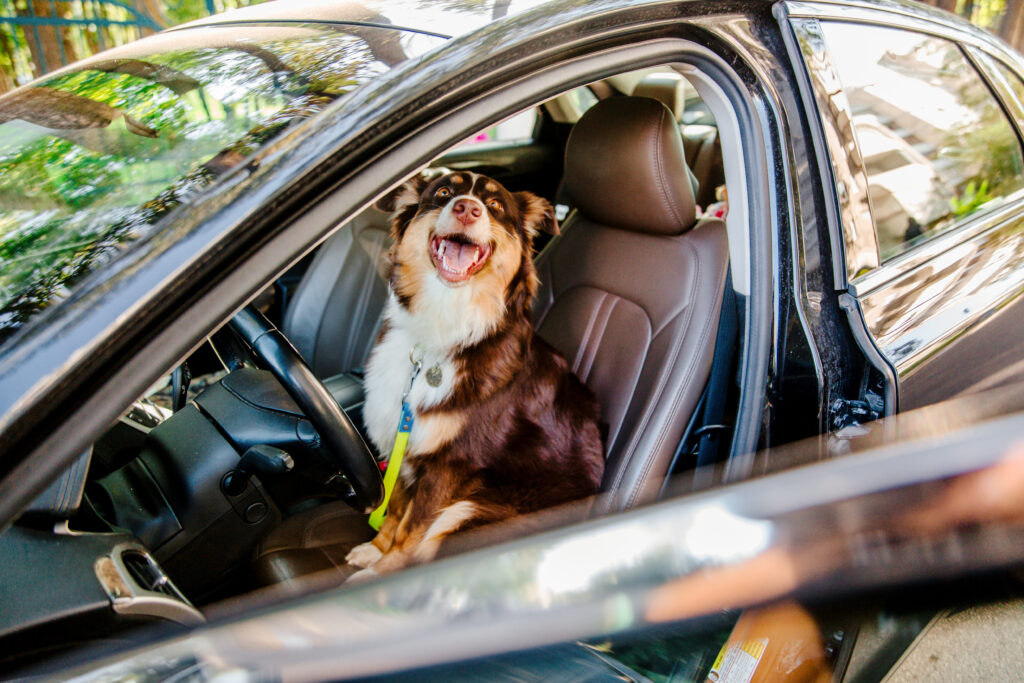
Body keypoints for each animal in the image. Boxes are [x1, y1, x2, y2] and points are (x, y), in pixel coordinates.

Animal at [344, 169, 602, 577]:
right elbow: (395, 509)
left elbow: (412, 528)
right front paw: (375, 550)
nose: (467, 209)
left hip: (469, 510)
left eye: (495, 205)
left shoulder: (452, 464)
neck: (444, 325)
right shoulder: (408, 442)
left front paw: (383, 571)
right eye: (443, 193)